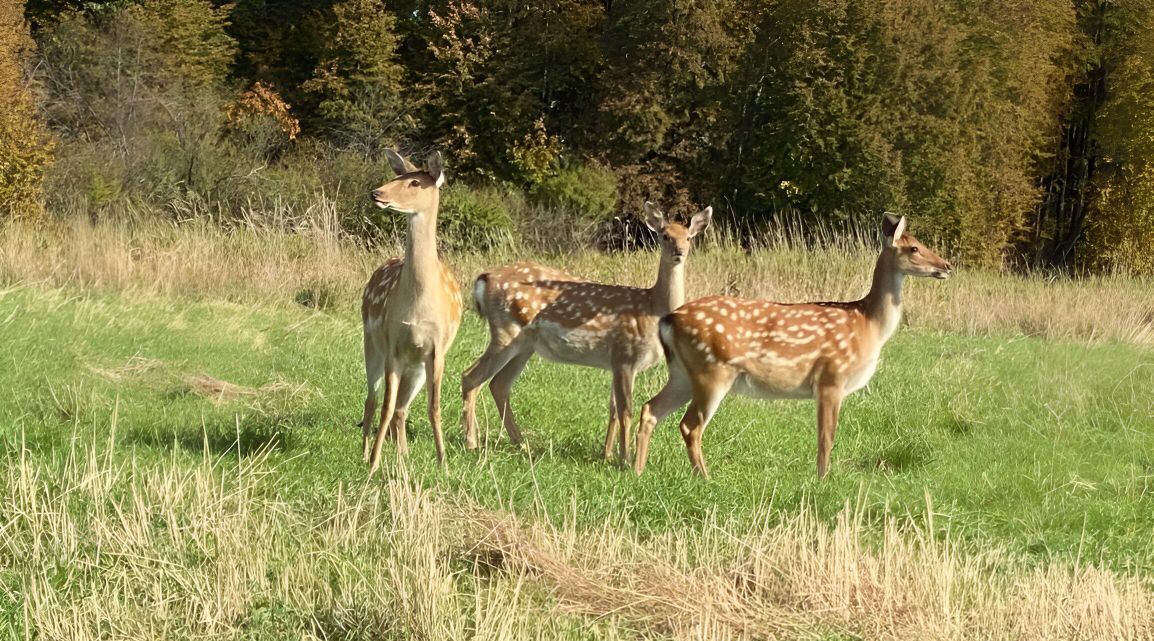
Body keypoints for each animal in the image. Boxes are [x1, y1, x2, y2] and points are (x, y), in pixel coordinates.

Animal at [364, 147, 463, 473]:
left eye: (415, 182)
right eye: (398, 175)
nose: (376, 193)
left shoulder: (437, 349)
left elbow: (434, 407)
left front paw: (444, 463)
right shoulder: (393, 345)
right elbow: (385, 406)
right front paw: (373, 463)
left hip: (416, 366)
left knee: (402, 409)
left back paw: (403, 456)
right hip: (372, 345)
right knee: (374, 400)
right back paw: (366, 453)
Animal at [459, 203, 710, 459]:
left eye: (689, 237)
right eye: (665, 235)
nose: (679, 251)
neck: (652, 308)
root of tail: (483, 279)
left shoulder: (616, 362)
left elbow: (612, 409)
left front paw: (606, 455)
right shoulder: (625, 355)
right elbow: (625, 410)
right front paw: (624, 458)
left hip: (525, 345)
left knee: (498, 384)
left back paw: (520, 443)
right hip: (505, 330)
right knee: (471, 376)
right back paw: (472, 442)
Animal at [637, 213, 950, 478]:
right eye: (914, 248)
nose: (946, 265)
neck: (869, 324)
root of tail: (668, 319)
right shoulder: (831, 377)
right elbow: (826, 438)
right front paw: (823, 480)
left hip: (682, 373)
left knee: (651, 409)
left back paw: (636, 470)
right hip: (712, 370)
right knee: (690, 425)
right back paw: (704, 477)